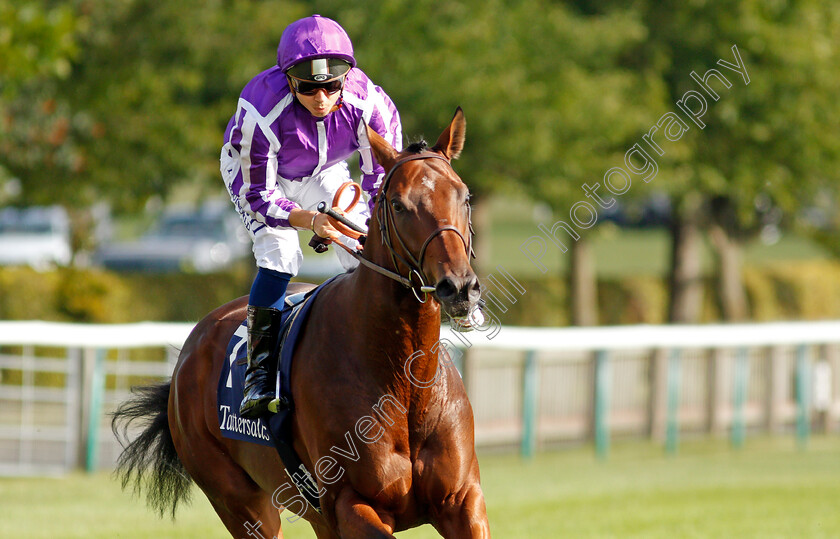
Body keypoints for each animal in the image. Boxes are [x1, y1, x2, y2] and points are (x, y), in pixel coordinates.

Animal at [111, 109, 492, 539]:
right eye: (397, 204)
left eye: (465, 196)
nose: (458, 287)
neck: (405, 381)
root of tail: (190, 352)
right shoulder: (351, 505)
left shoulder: (462, 501)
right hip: (241, 502)